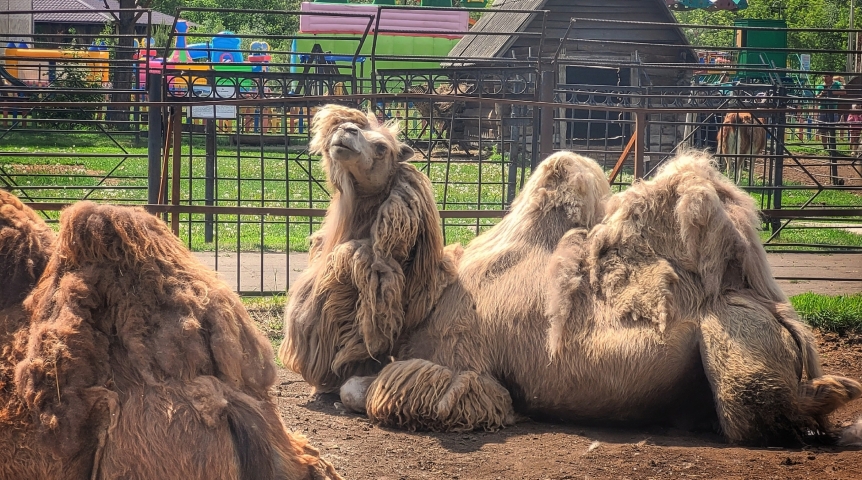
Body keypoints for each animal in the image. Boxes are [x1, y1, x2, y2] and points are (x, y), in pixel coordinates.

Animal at [280, 104, 862, 446]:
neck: (426, 294)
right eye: (351, 129)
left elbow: (361, 391)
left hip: (736, 342)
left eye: (380, 145)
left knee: (770, 413)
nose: (344, 133)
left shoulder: (458, 368)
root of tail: (784, 318)